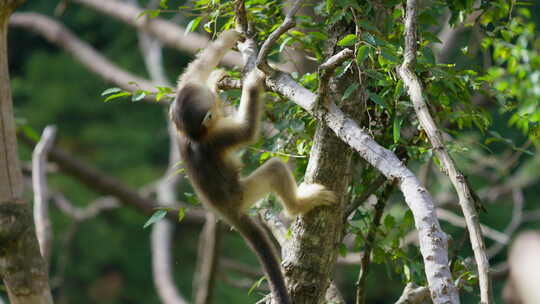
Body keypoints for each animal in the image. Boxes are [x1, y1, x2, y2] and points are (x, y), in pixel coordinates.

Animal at [171, 30, 336, 304]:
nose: (217, 105)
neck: (193, 136)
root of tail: (227, 211)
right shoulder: (218, 137)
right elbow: (247, 132)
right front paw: (253, 81)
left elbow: (192, 74)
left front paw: (230, 42)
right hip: (245, 193)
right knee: (275, 168)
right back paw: (298, 205)